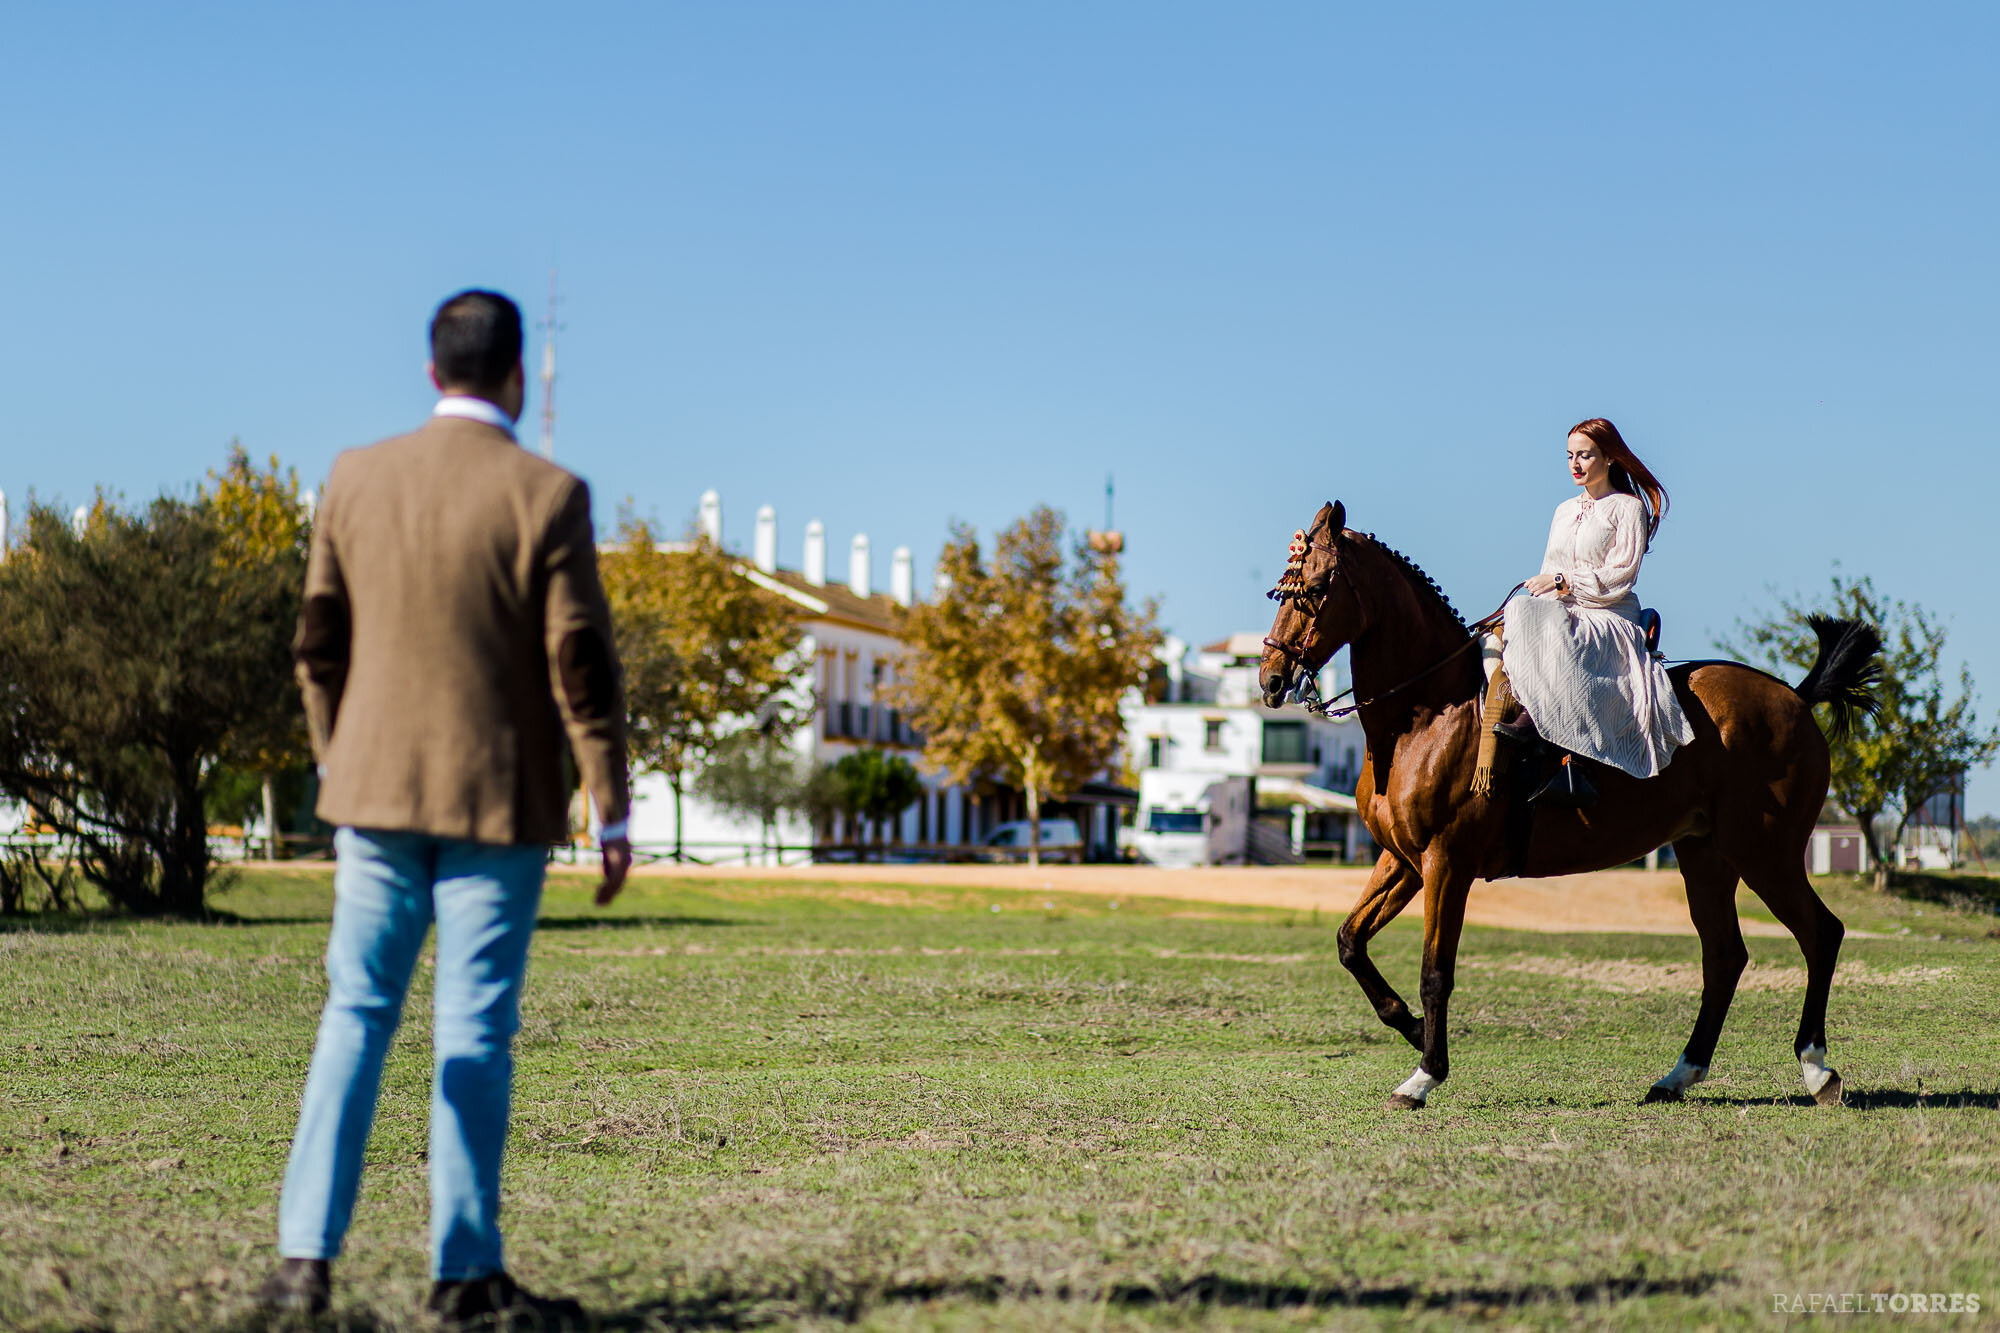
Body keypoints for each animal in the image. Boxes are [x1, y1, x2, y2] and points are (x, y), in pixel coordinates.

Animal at [1256, 498, 1880, 1096]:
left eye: (1315, 588)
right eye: (1280, 589)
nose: (1270, 678)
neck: (1430, 716)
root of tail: (1795, 697)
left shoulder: (1445, 865)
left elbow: (1436, 971)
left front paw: (1426, 1073)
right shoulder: (1403, 861)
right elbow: (1350, 942)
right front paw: (1409, 1027)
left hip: (1764, 853)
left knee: (1820, 934)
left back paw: (1817, 1068)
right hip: (1706, 856)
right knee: (1725, 956)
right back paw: (1681, 1074)